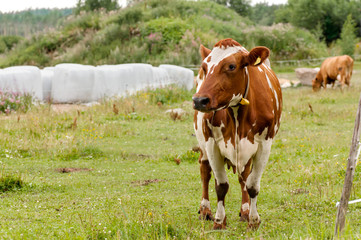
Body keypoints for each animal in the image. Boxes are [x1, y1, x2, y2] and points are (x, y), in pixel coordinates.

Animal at [191, 38, 282, 230]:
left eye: (231, 66)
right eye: (204, 66)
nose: (199, 100)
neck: (236, 113)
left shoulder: (264, 144)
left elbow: (252, 185)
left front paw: (253, 220)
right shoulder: (212, 143)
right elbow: (221, 185)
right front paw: (219, 221)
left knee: (244, 178)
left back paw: (245, 211)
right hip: (202, 143)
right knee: (205, 170)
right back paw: (205, 210)